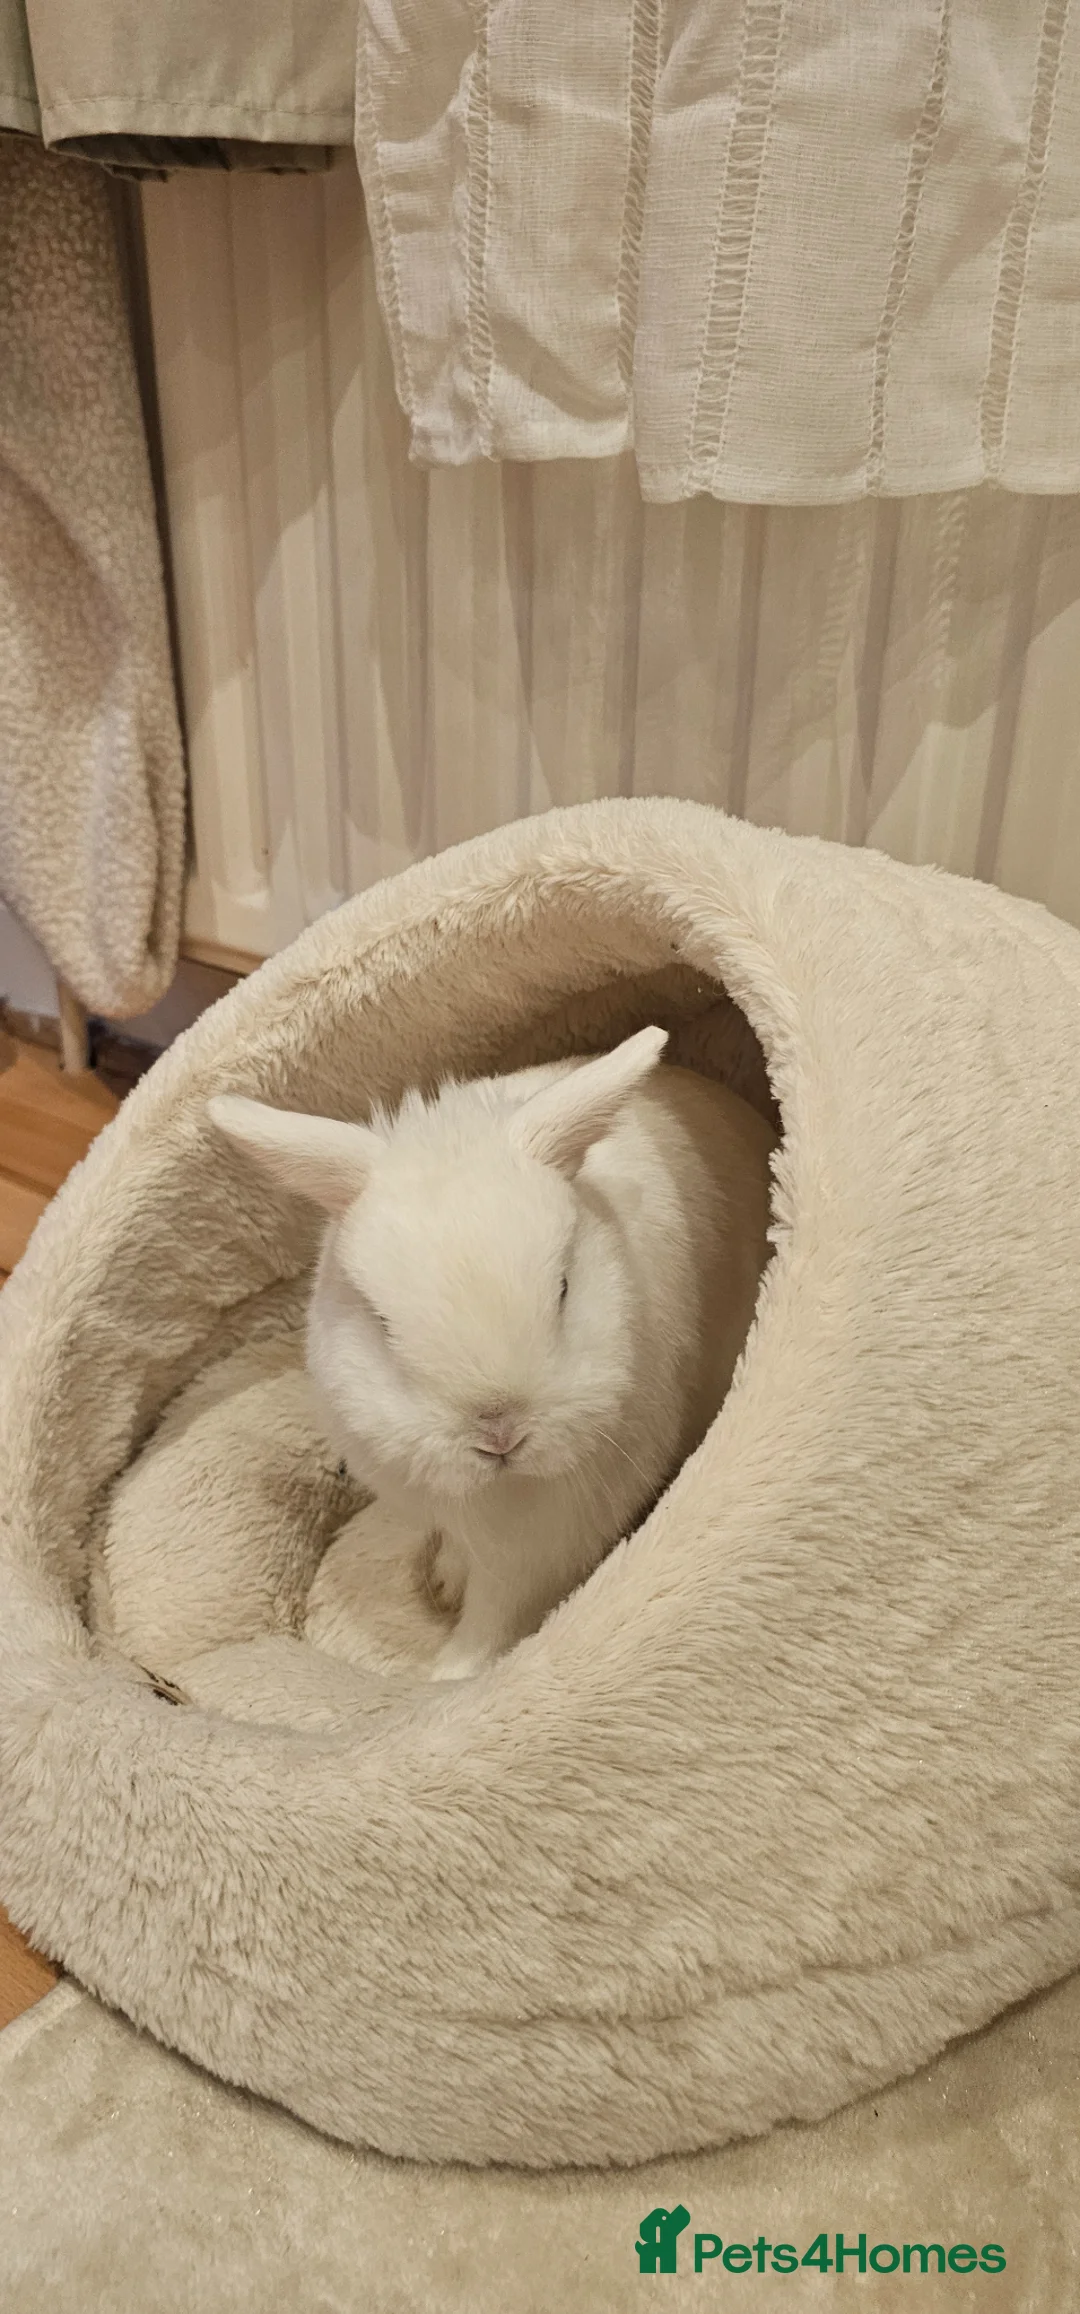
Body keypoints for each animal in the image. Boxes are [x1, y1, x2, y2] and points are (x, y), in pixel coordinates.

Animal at [209, 1026, 776, 1681]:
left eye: (564, 1288)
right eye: (381, 1322)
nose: (500, 1433)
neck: (498, 1490)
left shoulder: (544, 1542)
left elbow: (496, 1617)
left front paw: (449, 1677)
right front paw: (445, 1584)